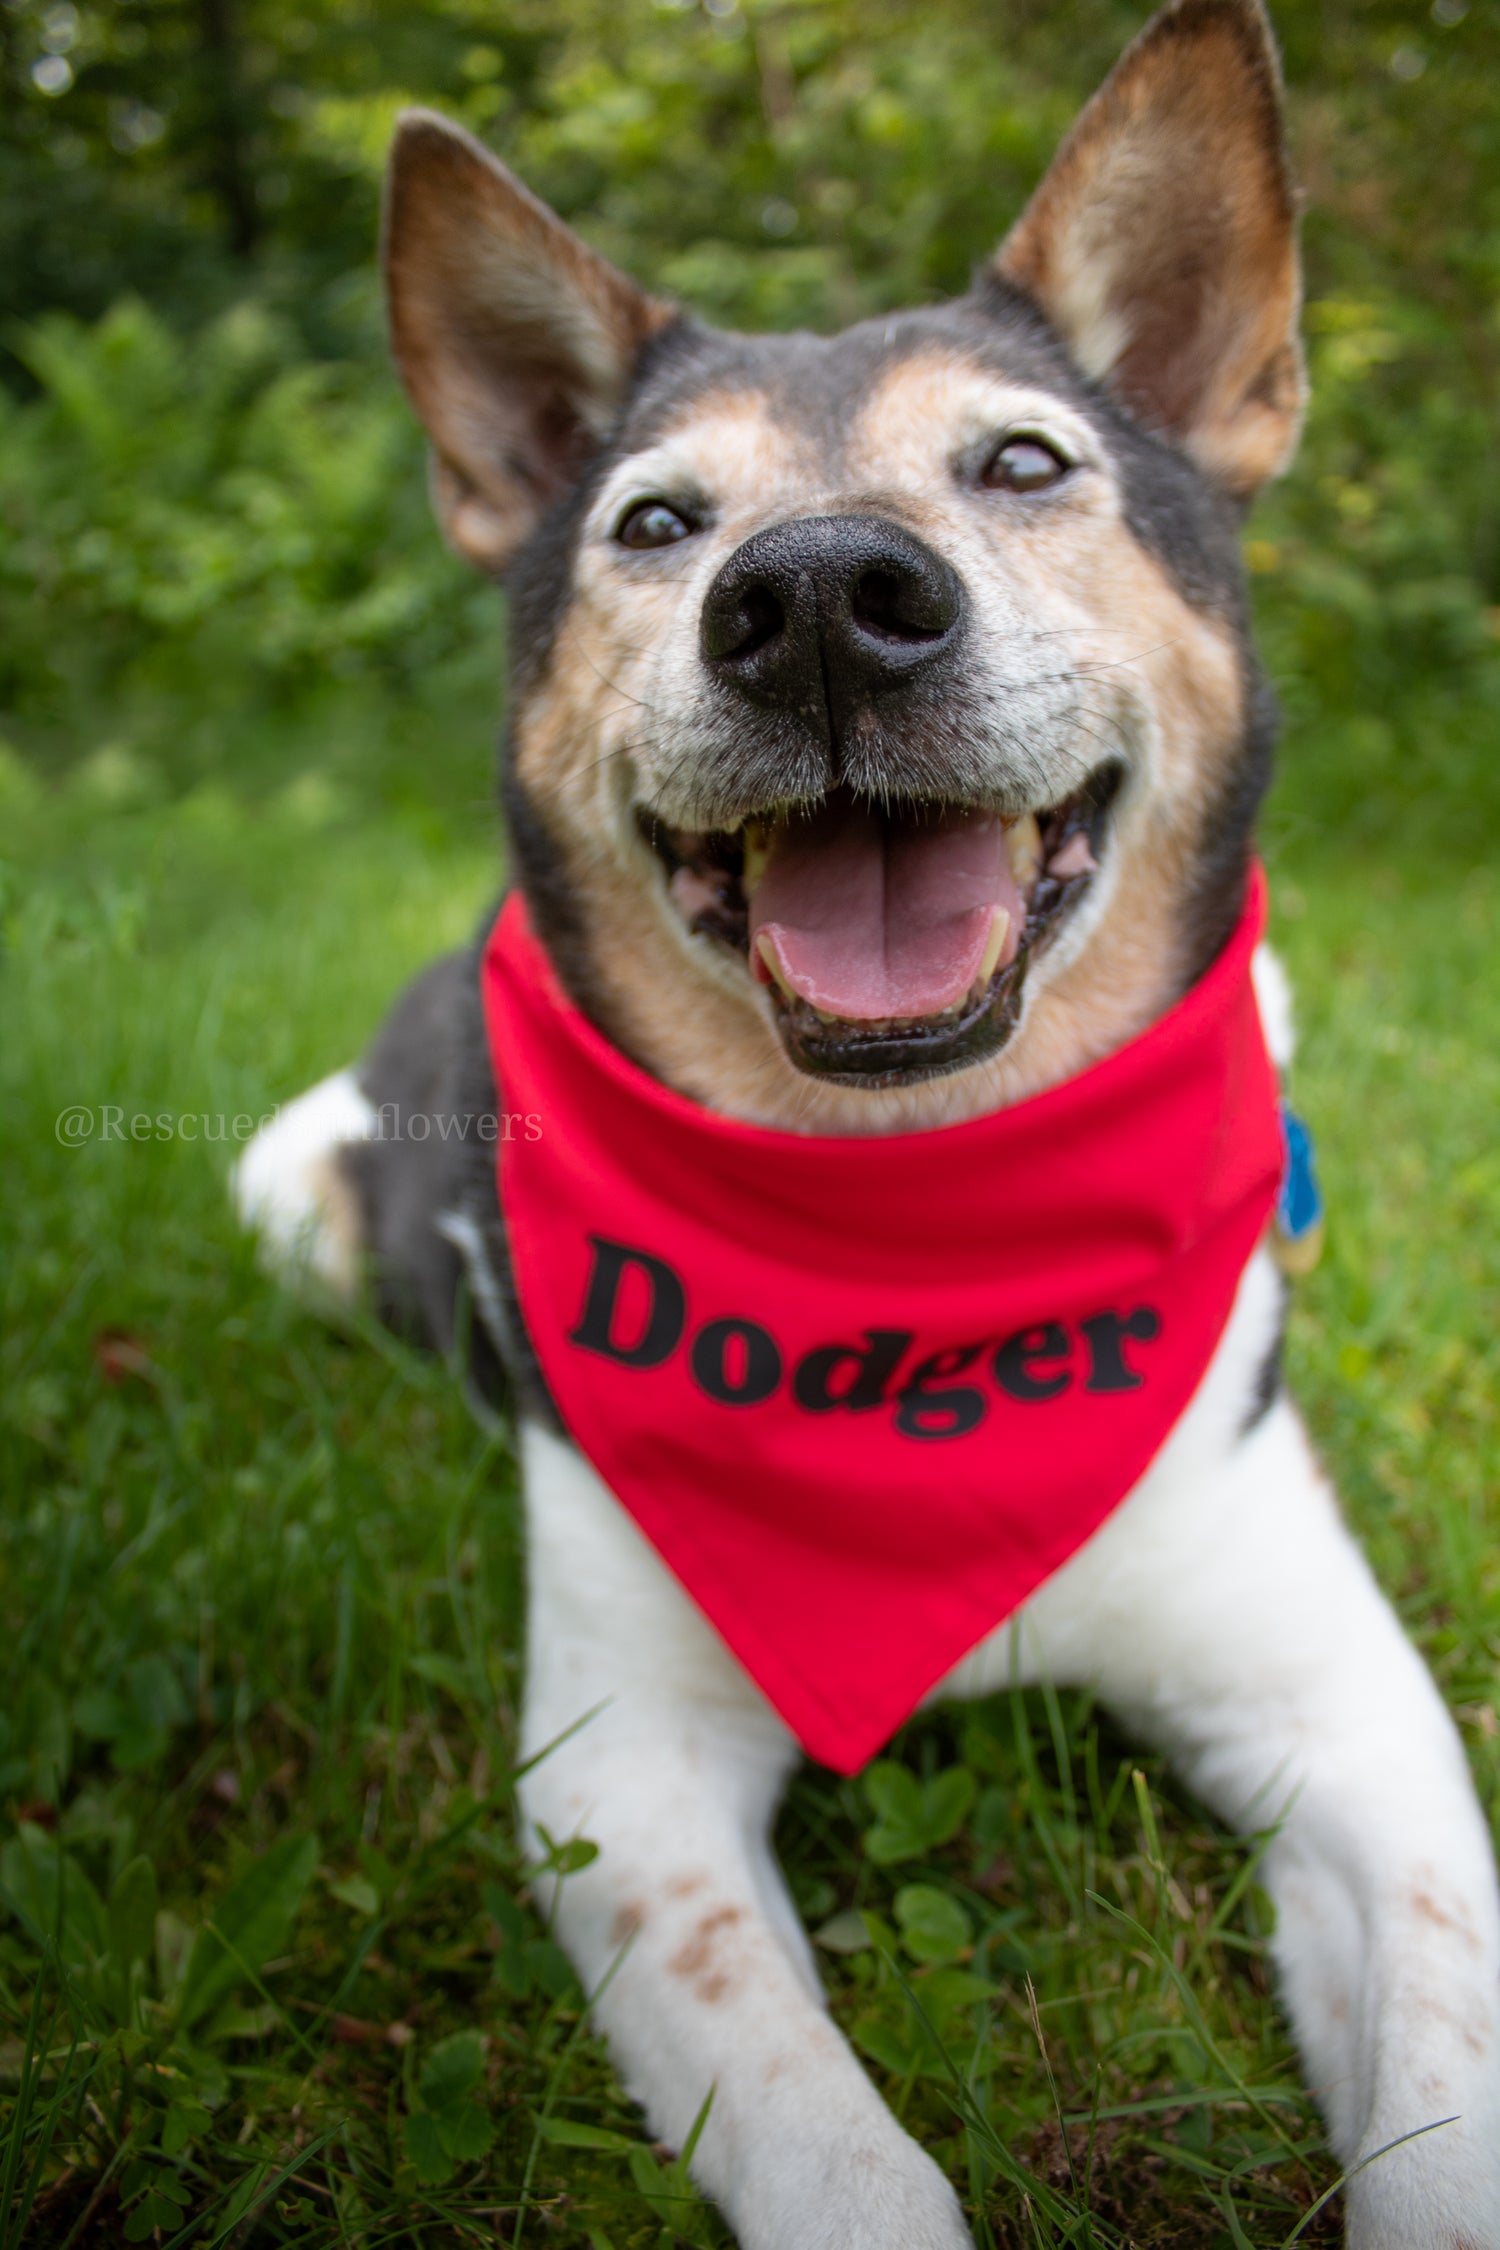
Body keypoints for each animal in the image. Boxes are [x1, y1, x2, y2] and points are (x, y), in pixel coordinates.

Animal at [235, 8, 1500, 2241]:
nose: (820, 596)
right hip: (290, 1188)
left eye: (1024, 464)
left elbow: (1442, 2108)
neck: (926, 1229)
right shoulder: (625, 1774)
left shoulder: (1353, 1720)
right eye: (654, 522)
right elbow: (836, 2154)